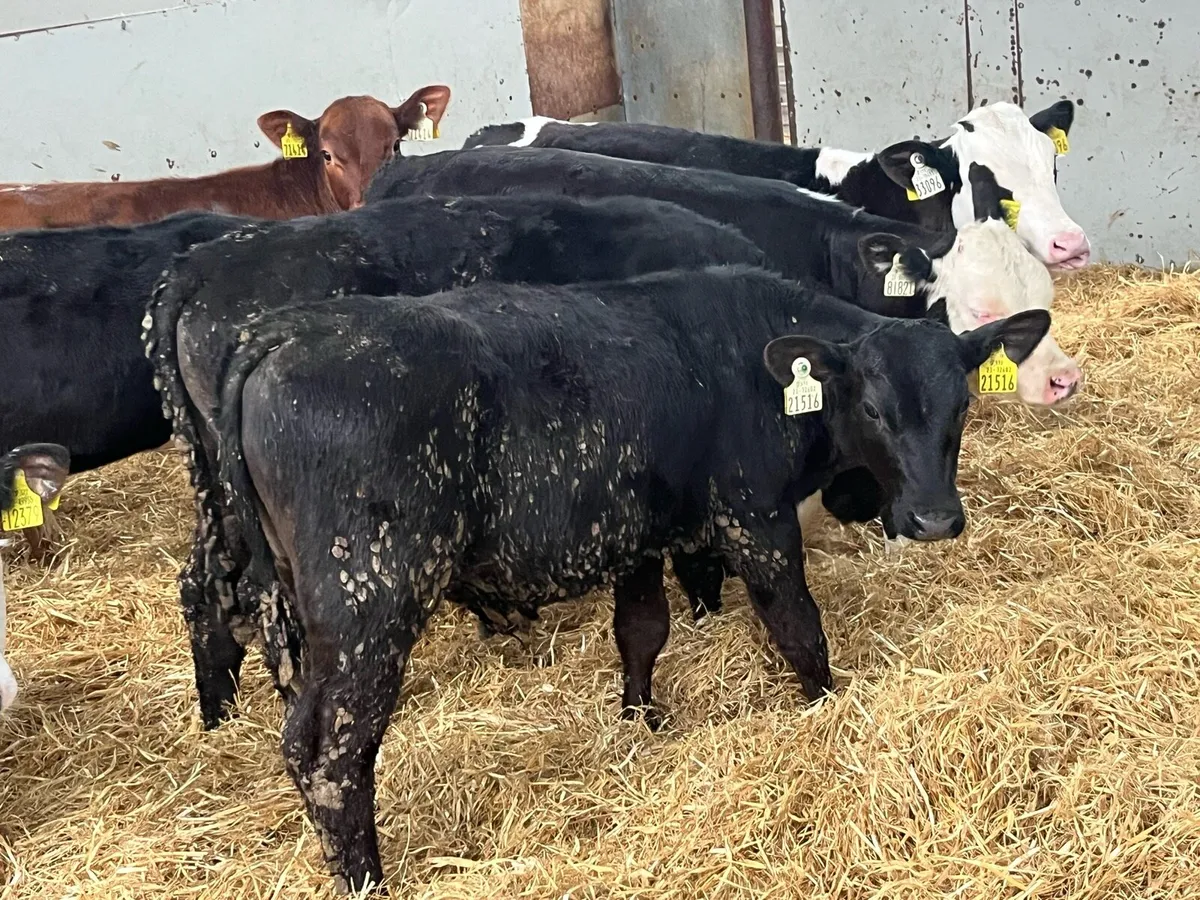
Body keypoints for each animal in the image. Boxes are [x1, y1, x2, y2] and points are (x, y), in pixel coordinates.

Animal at [203, 266, 1051, 893]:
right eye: (872, 406)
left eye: (963, 402)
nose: (935, 519)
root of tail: (281, 333)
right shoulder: (755, 517)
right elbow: (797, 627)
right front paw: (825, 706)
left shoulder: (639, 536)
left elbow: (642, 633)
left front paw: (641, 720)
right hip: (368, 599)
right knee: (329, 747)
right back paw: (366, 880)